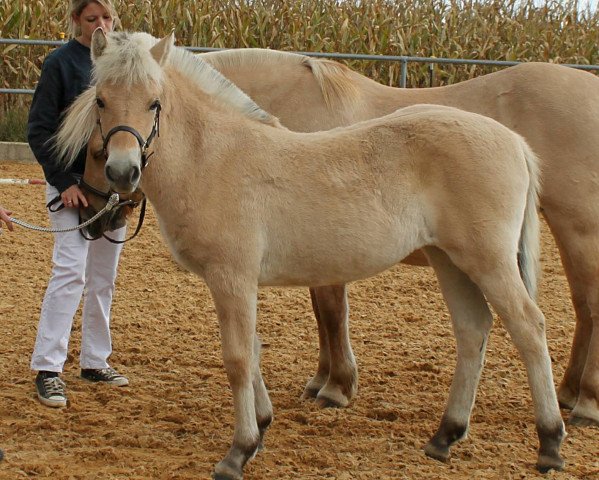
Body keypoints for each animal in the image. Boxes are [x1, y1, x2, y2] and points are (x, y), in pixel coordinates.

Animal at [56, 31, 568, 478]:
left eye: (154, 102)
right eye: (101, 100)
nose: (123, 173)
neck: (217, 158)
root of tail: (515, 142)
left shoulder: (232, 278)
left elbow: (238, 358)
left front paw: (238, 452)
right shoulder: (239, 283)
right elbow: (254, 350)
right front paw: (261, 428)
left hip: (489, 261)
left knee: (529, 327)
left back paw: (550, 443)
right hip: (451, 262)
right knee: (473, 330)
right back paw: (445, 436)